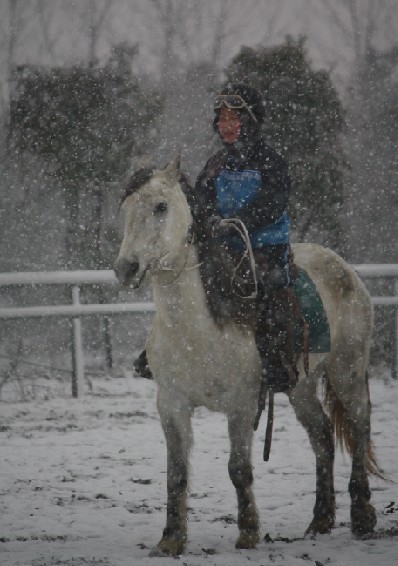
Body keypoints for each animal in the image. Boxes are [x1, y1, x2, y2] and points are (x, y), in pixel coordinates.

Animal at [114, 158, 380, 556]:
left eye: (160, 206)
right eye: (128, 207)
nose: (125, 268)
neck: (198, 327)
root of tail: (345, 270)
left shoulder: (241, 404)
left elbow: (238, 468)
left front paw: (249, 533)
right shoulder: (172, 404)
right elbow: (176, 473)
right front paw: (171, 539)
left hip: (347, 371)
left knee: (359, 428)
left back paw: (362, 517)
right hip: (301, 387)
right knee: (322, 437)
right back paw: (320, 521)